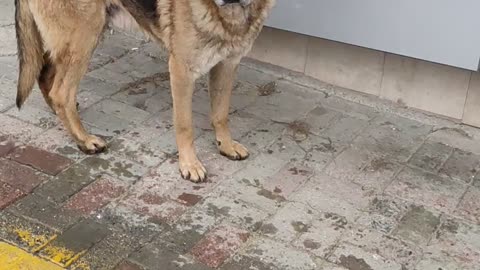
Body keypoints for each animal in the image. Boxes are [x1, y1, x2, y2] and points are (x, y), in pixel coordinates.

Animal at [15, 0, 276, 182]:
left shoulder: (227, 65)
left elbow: (221, 114)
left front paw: (226, 145)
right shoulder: (181, 71)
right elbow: (185, 125)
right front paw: (189, 164)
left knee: (47, 76)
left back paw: (64, 118)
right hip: (84, 36)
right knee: (61, 92)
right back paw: (83, 139)